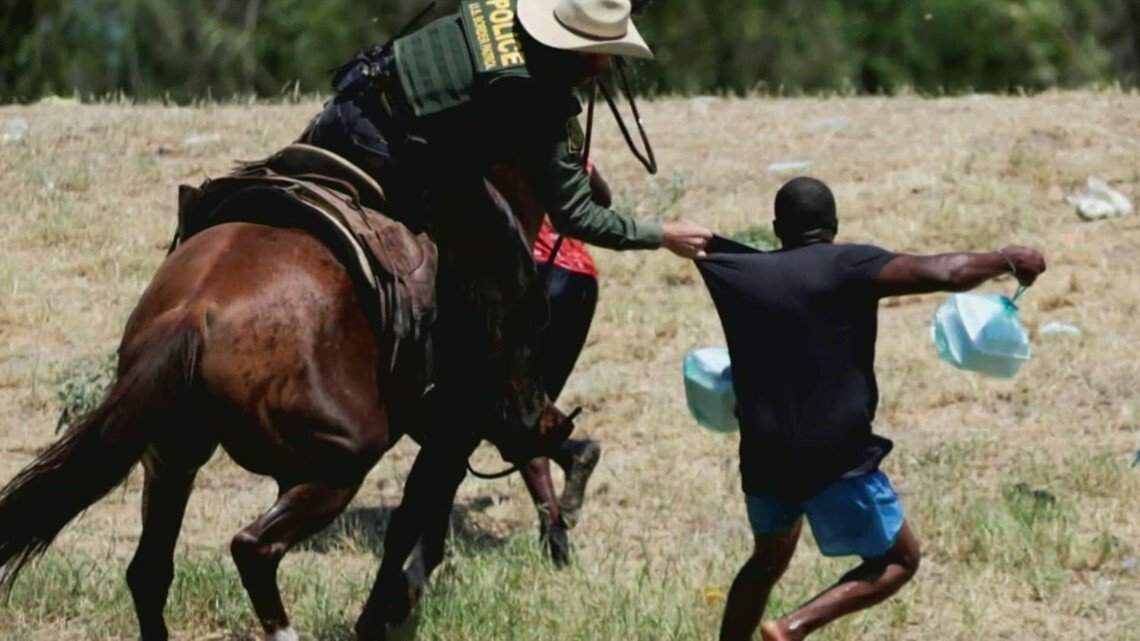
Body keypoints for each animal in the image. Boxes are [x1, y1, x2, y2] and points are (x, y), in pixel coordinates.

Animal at [0, 150, 570, 638]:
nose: (547, 422)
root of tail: (194, 313)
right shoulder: (456, 428)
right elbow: (412, 521)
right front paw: (384, 613)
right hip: (337, 468)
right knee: (253, 547)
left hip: (173, 457)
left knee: (150, 572)